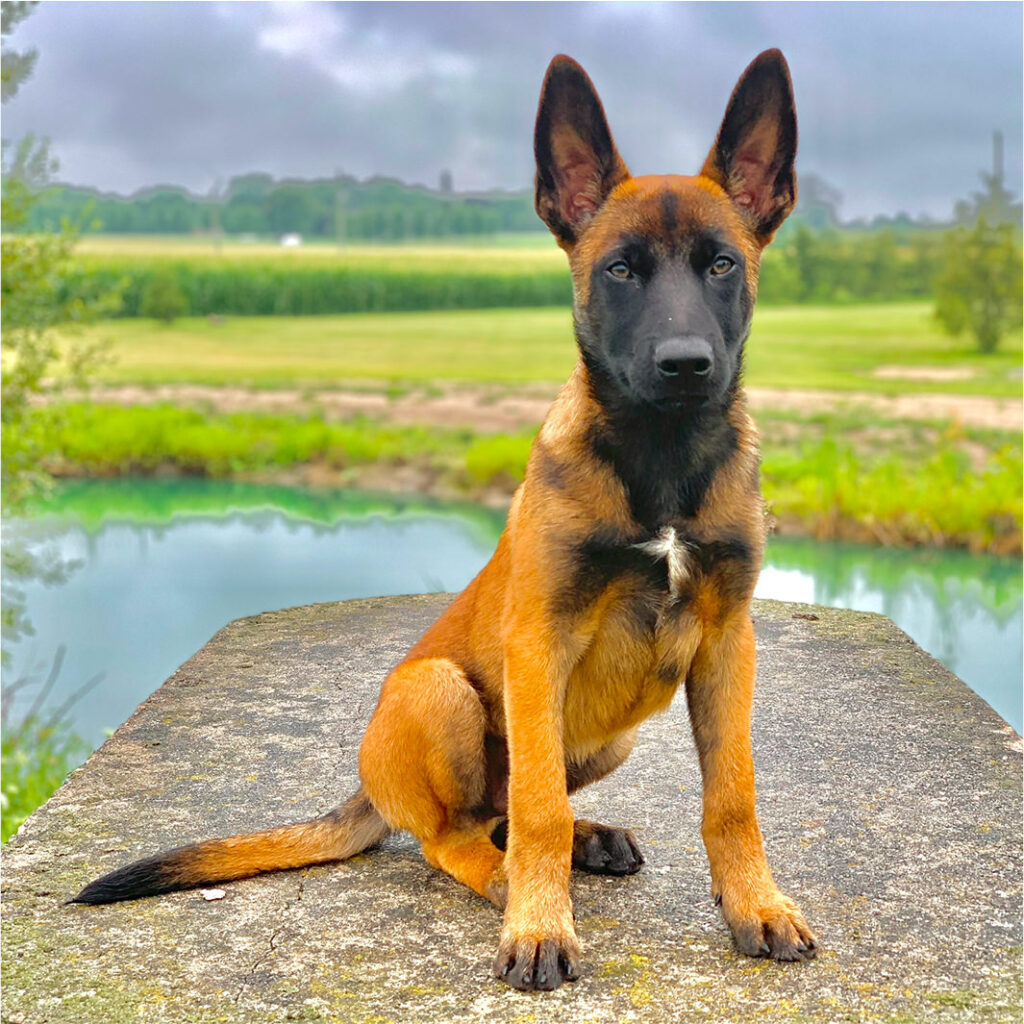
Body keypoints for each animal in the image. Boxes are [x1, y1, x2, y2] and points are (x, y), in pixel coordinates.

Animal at [74, 49, 815, 991]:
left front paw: (756, 904)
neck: (662, 456)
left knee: (510, 809)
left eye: (722, 265)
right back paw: (507, 880)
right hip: (436, 689)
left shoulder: (727, 641)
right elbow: (540, 811)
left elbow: (732, 798)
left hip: (610, 737)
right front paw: (540, 923)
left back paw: (589, 842)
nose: (685, 366)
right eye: (619, 270)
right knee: (458, 833)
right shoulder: (540, 643)